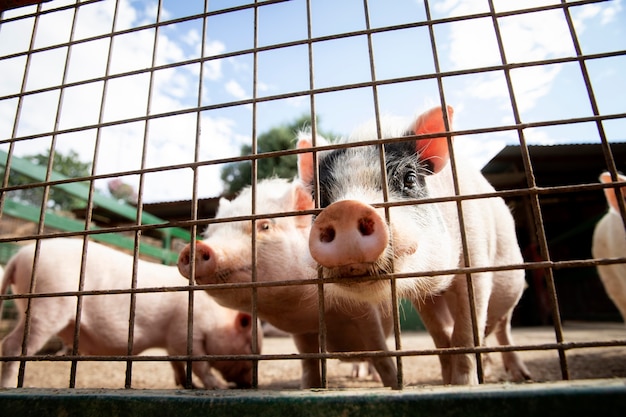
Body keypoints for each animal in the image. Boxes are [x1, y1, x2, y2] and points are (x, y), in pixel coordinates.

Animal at [0, 239, 258, 388]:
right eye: (248, 345)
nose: (248, 383)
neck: (216, 318)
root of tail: (17, 257)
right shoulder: (184, 332)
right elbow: (199, 364)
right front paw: (219, 388)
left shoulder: (171, 342)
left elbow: (175, 363)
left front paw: (186, 386)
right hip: (46, 304)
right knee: (11, 345)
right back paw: (9, 386)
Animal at [178, 177, 398, 388]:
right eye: (210, 233)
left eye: (265, 226)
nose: (197, 247)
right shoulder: (303, 332)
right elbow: (309, 362)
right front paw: (308, 387)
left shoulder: (366, 311)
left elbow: (380, 352)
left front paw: (393, 384)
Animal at [294, 105, 528, 384]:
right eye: (320, 198)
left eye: (410, 178)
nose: (345, 209)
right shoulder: (423, 294)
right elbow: (440, 334)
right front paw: (447, 380)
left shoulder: (476, 259)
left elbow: (466, 331)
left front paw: (462, 384)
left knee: (503, 329)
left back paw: (521, 376)